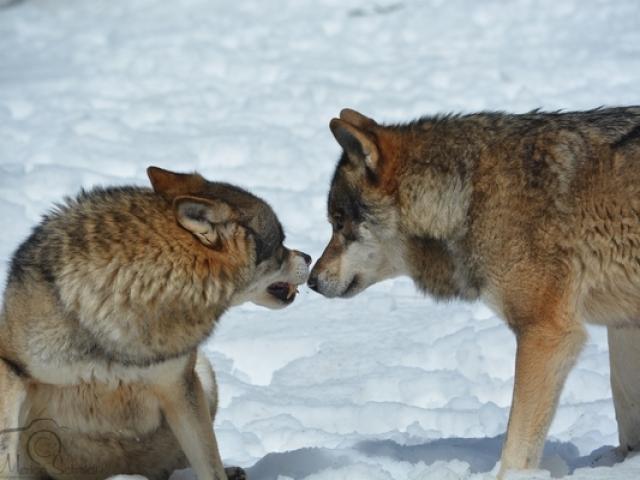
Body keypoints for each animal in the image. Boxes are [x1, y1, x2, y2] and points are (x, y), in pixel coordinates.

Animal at [0, 167, 310, 478]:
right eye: (281, 244)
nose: (308, 256)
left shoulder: (178, 384)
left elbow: (210, 465)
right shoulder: (11, 368)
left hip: (203, 374)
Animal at [308, 107, 640, 478]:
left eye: (339, 222)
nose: (311, 280)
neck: (470, 198)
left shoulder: (546, 332)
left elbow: (516, 445)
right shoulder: (624, 324)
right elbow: (626, 405)